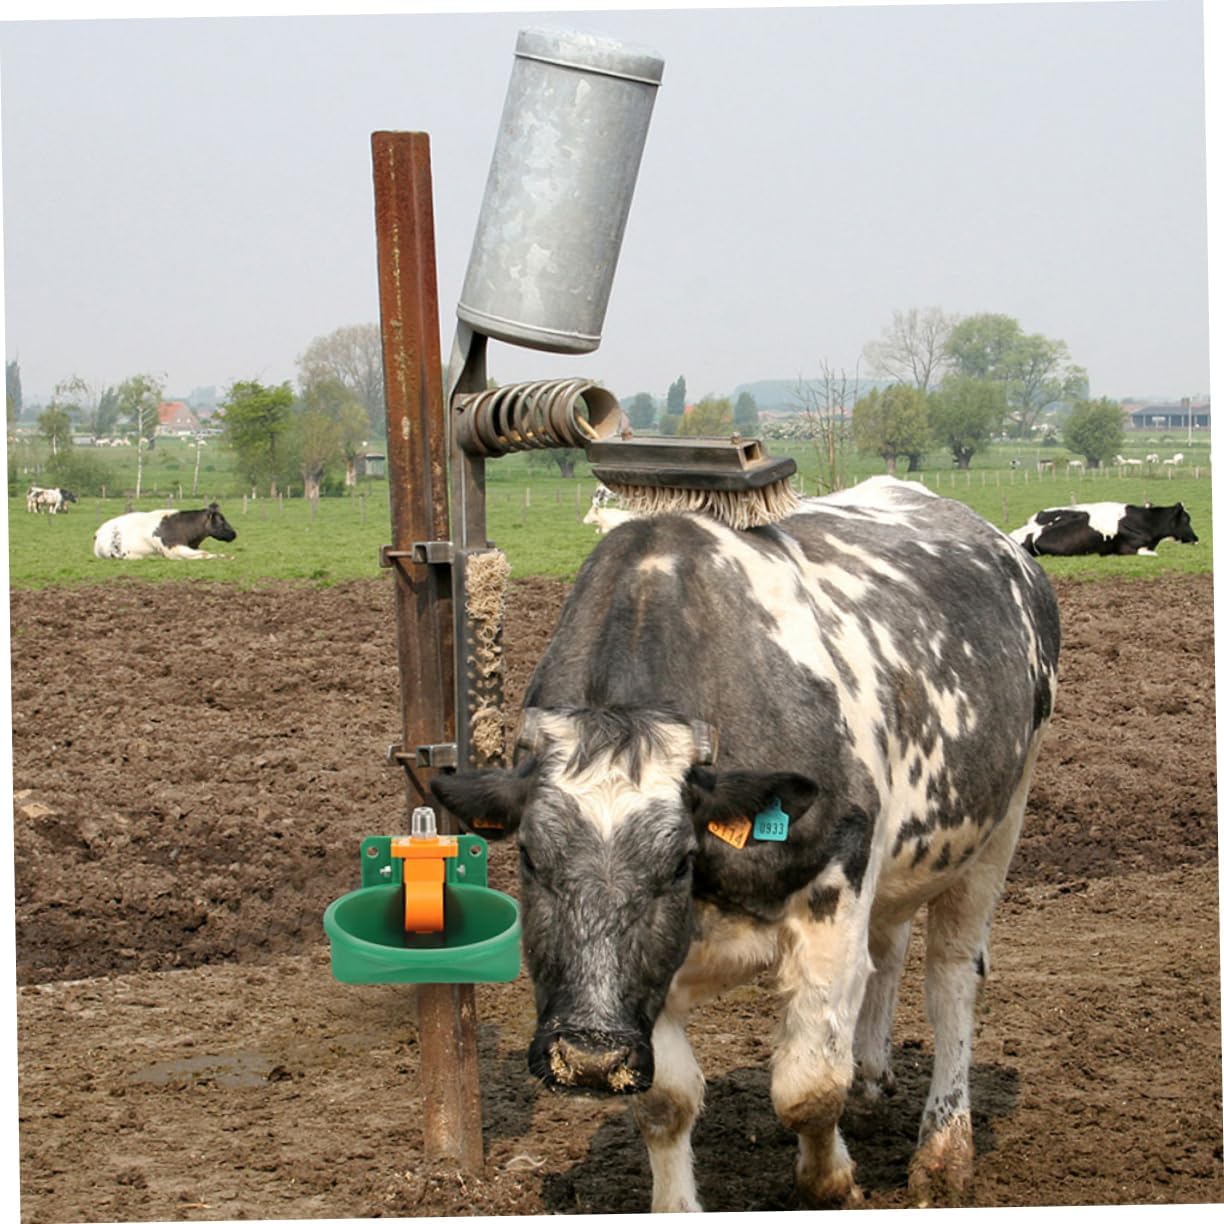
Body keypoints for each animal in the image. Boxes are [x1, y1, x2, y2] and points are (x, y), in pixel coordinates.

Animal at [430, 475, 1060, 1211]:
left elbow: (809, 1086)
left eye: (678, 863)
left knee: (952, 979)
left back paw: (944, 1150)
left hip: (999, 825)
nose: (588, 1056)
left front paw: (831, 1180)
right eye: (529, 857)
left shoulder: (833, 899)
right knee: (889, 949)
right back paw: (873, 1076)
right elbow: (665, 1103)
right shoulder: (656, 973)